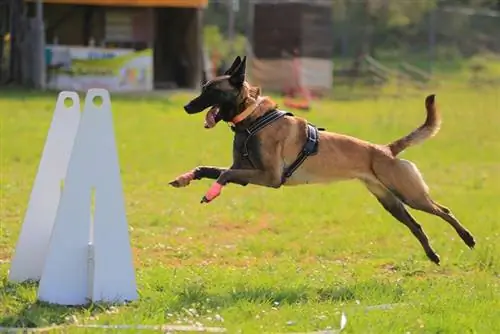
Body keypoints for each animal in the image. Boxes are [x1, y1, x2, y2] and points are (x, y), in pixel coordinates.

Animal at [171, 55, 476, 264]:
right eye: (203, 87)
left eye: (210, 90)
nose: (185, 106)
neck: (253, 118)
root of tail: (386, 149)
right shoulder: (244, 172)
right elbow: (207, 168)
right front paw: (185, 178)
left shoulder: (268, 177)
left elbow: (223, 174)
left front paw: (211, 193)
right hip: (391, 202)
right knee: (417, 225)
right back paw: (432, 254)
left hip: (410, 194)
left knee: (443, 210)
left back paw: (467, 238)